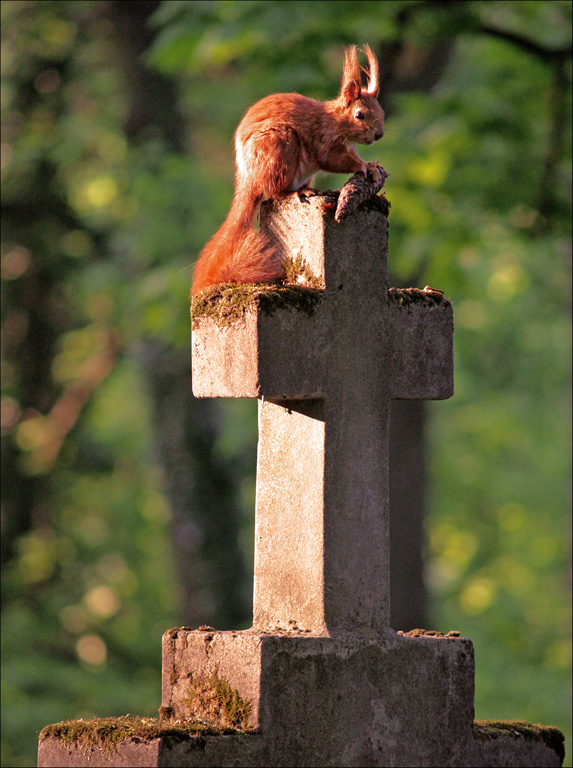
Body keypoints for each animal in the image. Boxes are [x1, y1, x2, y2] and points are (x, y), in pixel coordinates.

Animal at [191, 45, 384, 296]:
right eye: (359, 115)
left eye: (381, 111)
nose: (379, 135)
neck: (334, 120)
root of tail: (248, 180)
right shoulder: (324, 139)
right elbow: (332, 159)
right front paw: (365, 166)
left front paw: (373, 165)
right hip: (281, 145)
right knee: (274, 192)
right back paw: (296, 192)